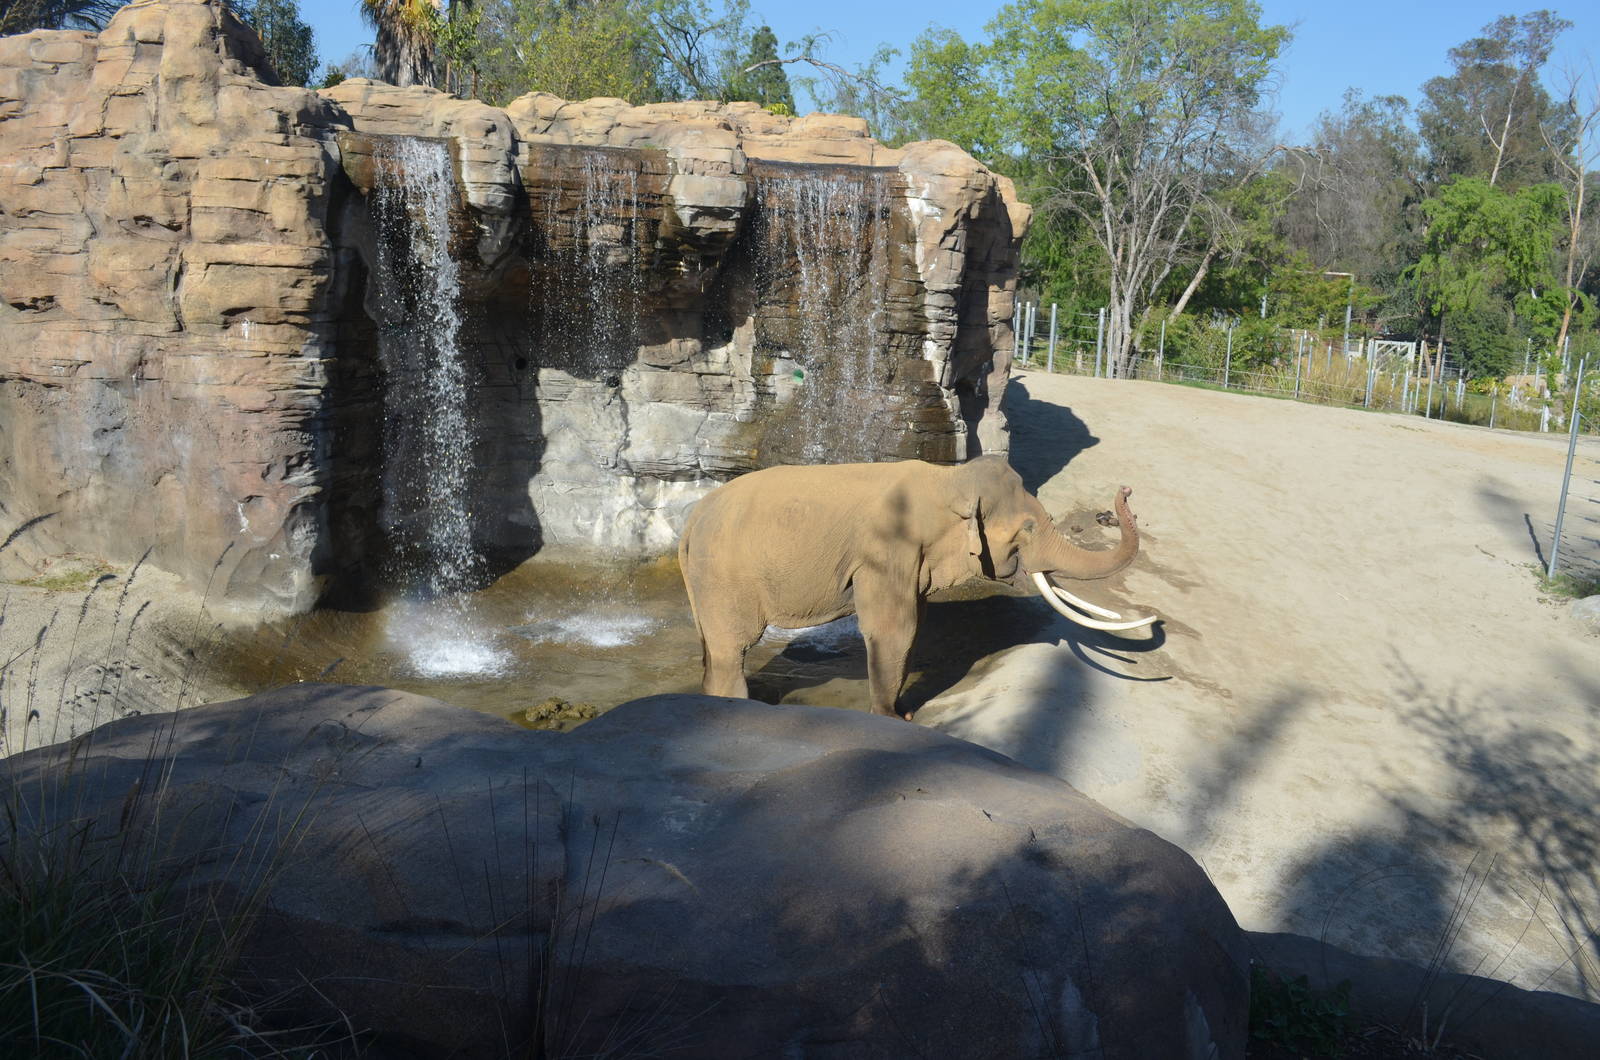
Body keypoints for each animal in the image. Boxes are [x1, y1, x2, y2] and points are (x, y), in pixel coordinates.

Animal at [676, 455, 1154, 720]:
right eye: (1029, 527)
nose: (1127, 490)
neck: (948, 480)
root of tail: (691, 521)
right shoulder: (888, 549)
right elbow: (895, 629)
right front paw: (894, 718)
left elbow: (914, 623)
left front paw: (903, 712)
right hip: (723, 576)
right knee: (732, 649)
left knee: (712, 651)